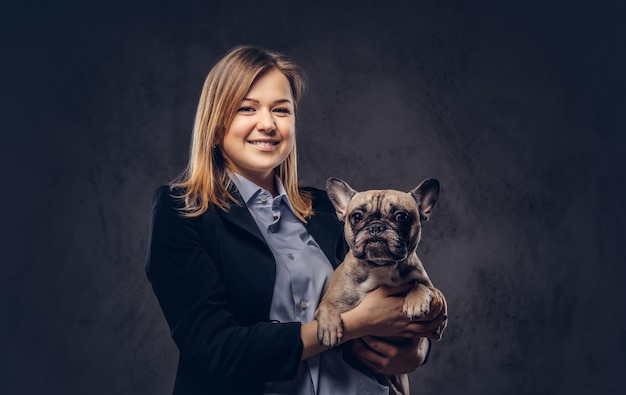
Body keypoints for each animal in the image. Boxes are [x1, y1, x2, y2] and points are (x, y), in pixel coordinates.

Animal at [314, 179, 446, 395]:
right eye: (356, 216)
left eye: (401, 217)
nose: (376, 227)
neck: (380, 267)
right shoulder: (332, 299)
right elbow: (326, 306)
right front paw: (329, 329)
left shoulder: (437, 295)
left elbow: (421, 286)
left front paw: (416, 302)